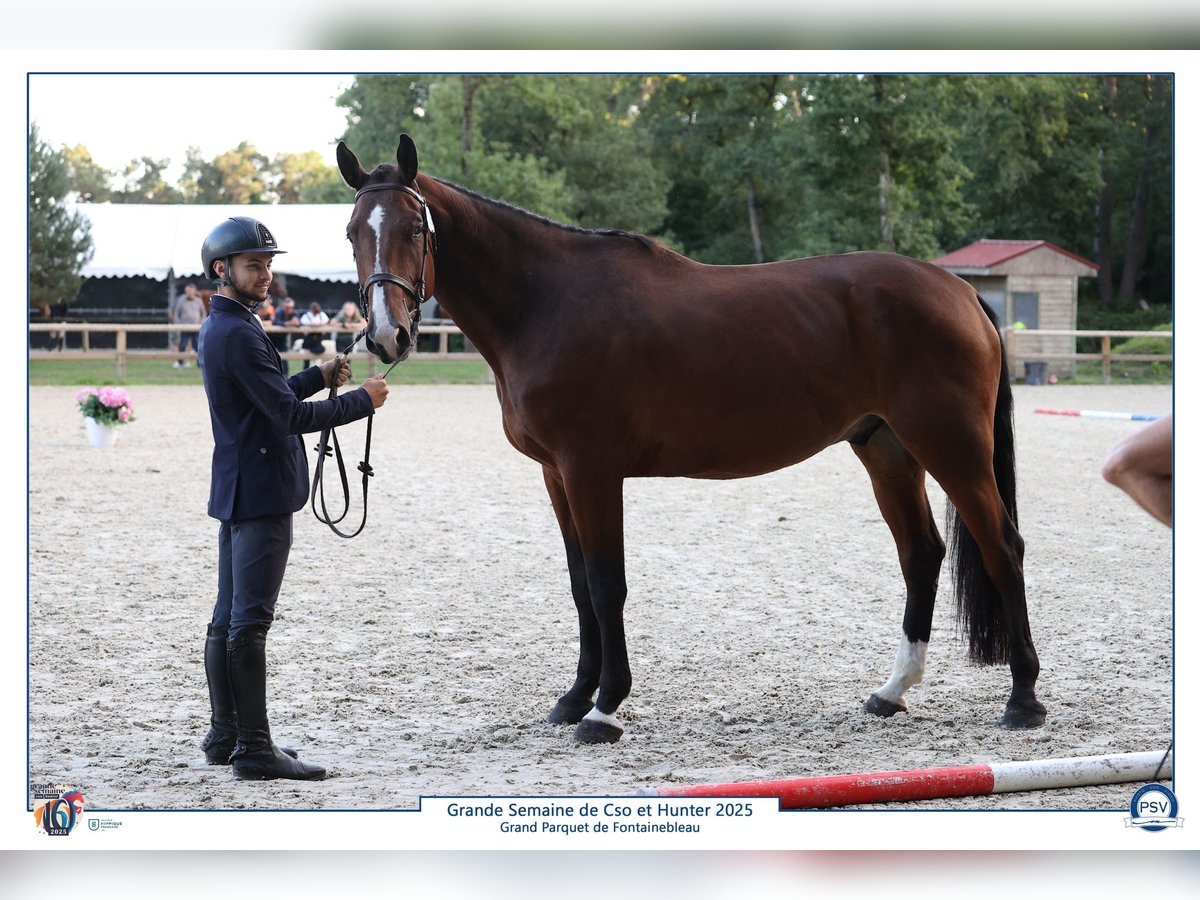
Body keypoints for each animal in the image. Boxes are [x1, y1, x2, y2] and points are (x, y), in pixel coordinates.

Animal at [336, 134, 1046, 744]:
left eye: (415, 229)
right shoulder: (556, 474)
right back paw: (892, 692)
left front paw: (604, 709)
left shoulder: (592, 470)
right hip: (887, 450)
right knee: (921, 555)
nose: (387, 336)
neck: (546, 303)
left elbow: (607, 584)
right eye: (351, 233)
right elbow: (579, 584)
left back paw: (1023, 700)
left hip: (952, 448)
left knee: (1002, 548)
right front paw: (573, 699)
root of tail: (959, 290)